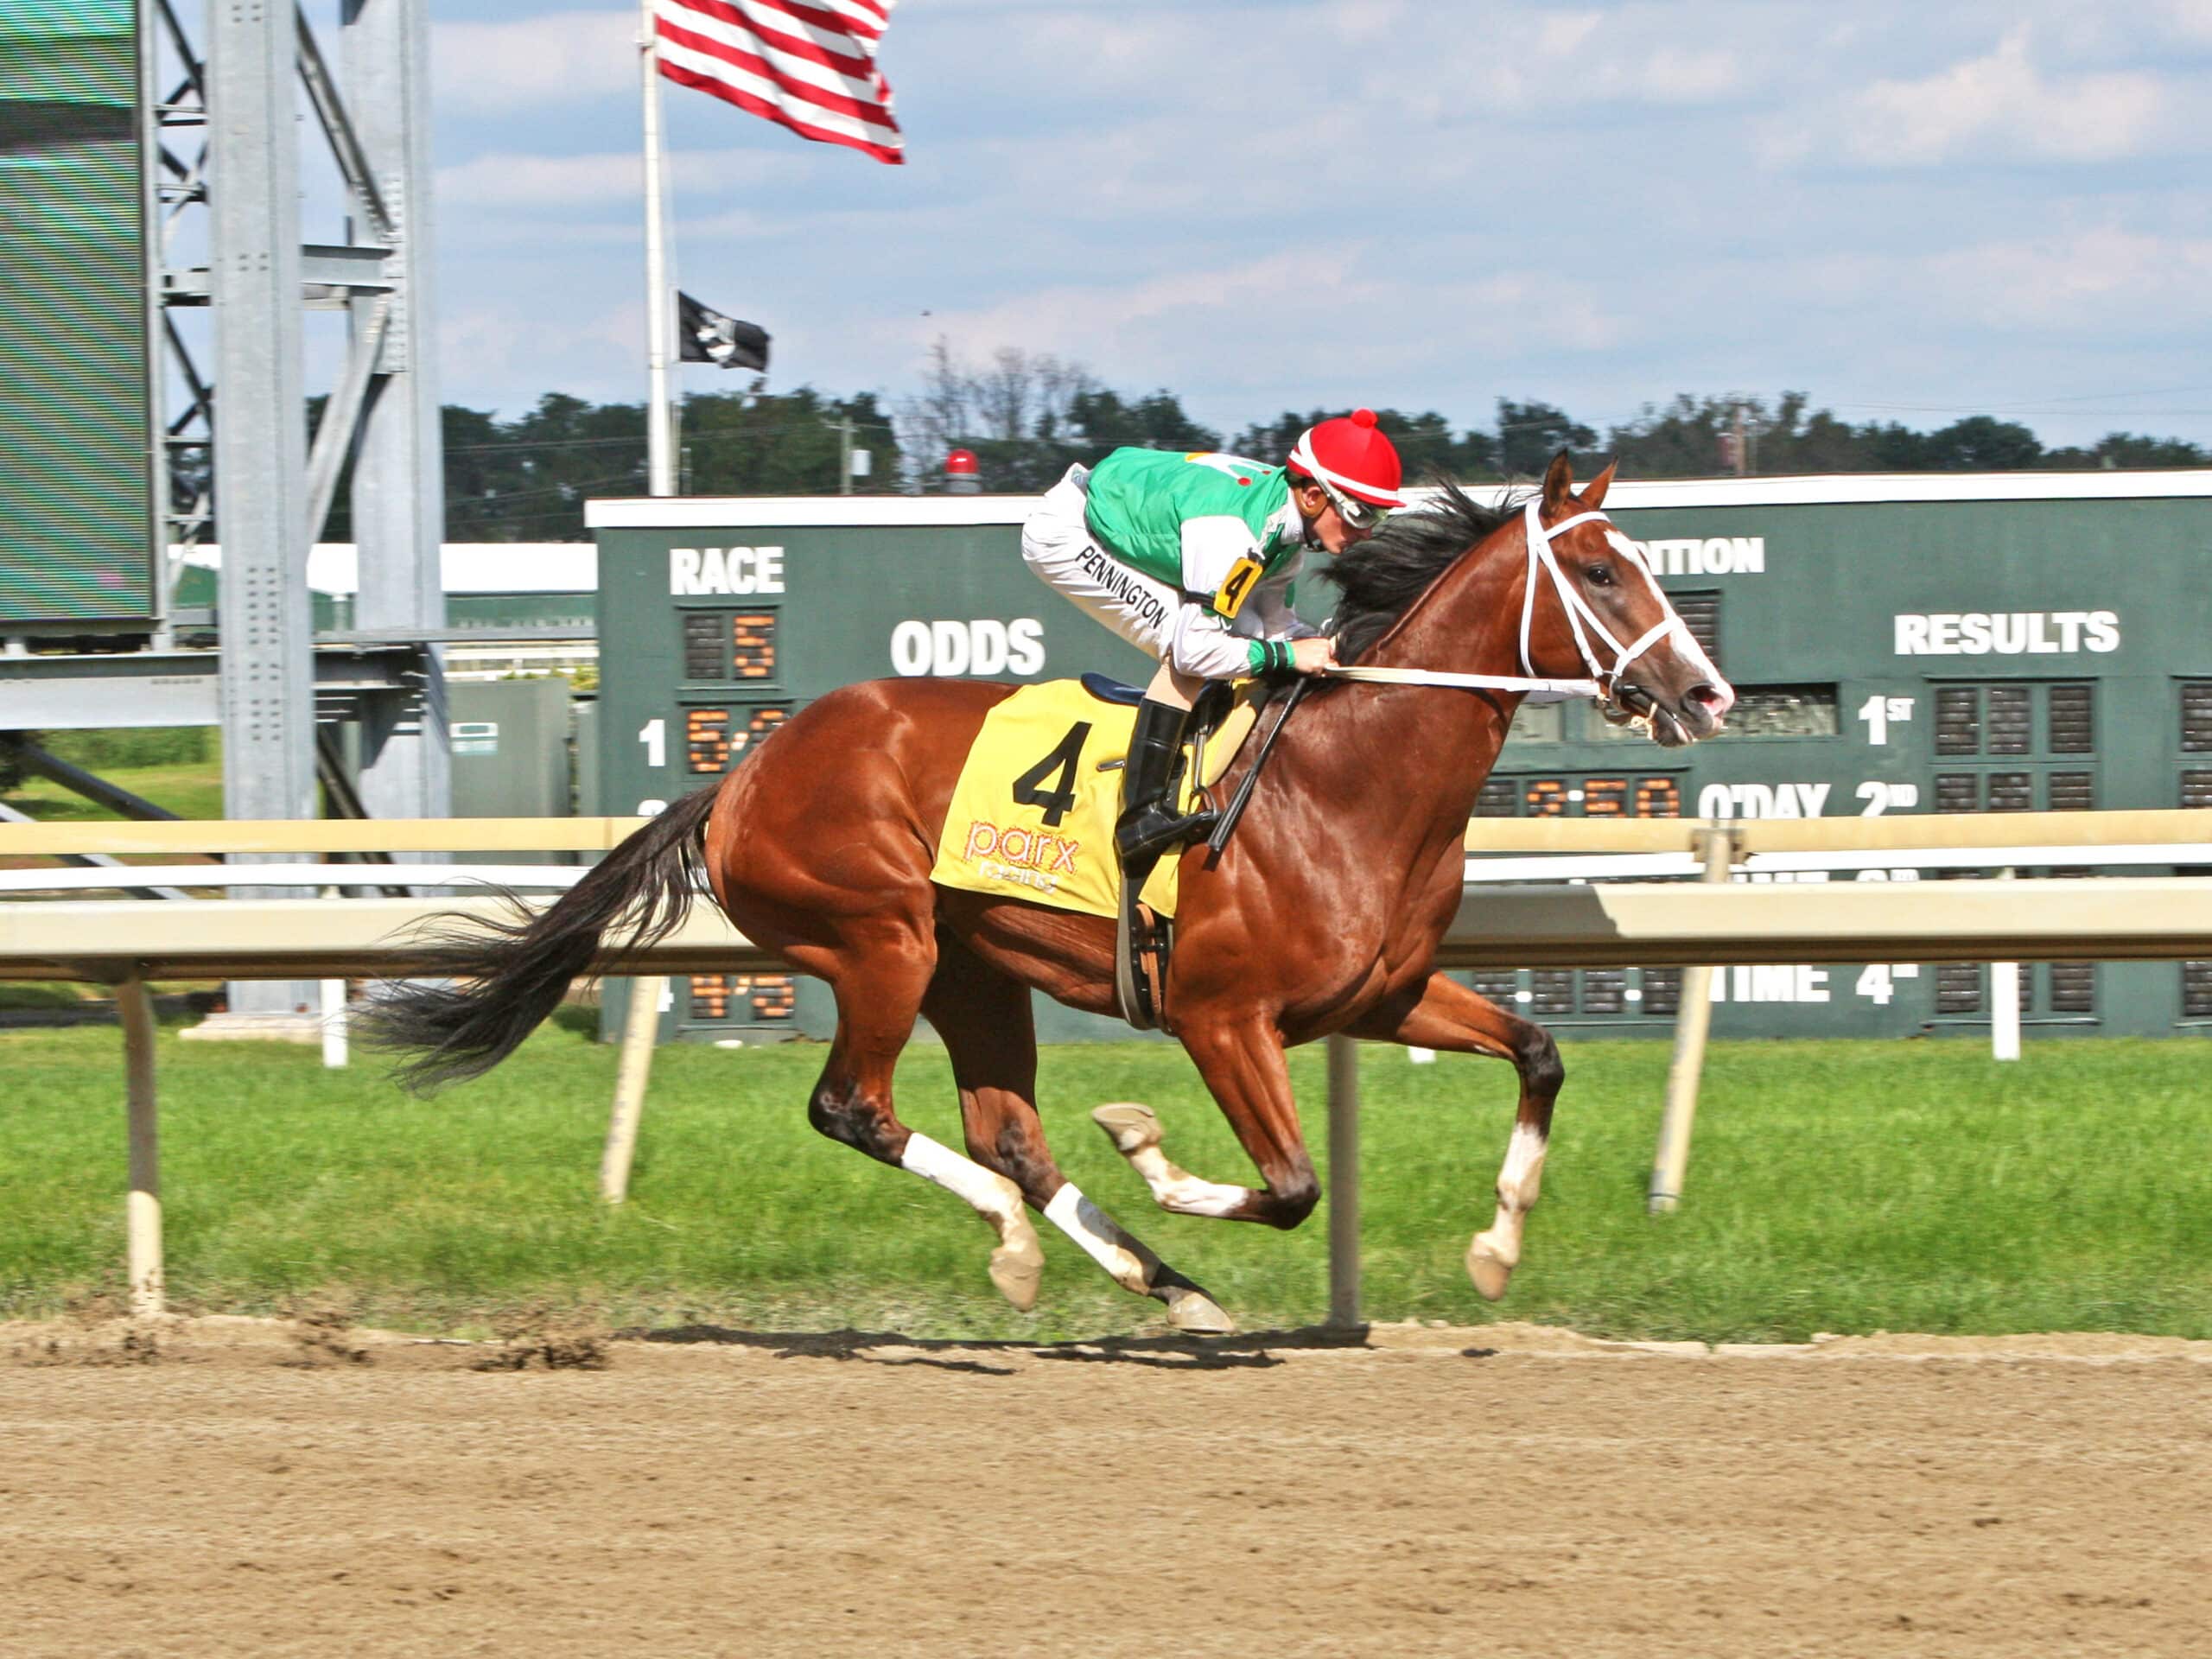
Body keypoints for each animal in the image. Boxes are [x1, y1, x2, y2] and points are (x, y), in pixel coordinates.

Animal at [372, 457, 1734, 1336]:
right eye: (1600, 572)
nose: (1707, 692)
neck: (1349, 781)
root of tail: (741, 771)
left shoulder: (1382, 995)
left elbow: (1540, 1053)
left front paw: (1497, 1249)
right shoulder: (1220, 1018)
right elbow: (1292, 1186)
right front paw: (1149, 1148)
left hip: (975, 968)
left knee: (1009, 1138)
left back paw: (1165, 1285)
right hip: (882, 941)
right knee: (853, 1108)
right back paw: (1029, 1248)